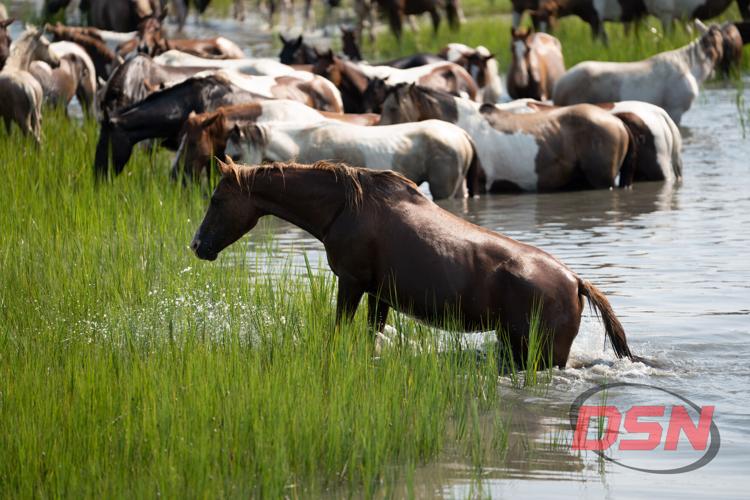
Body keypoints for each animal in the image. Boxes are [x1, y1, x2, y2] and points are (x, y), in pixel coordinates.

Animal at [191, 159, 637, 368]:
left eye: (216, 198)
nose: (197, 245)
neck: (342, 208)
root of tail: (577, 282)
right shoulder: (379, 295)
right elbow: (370, 336)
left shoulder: (351, 282)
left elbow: (337, 332)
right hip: (515, 344)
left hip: (544, 353)